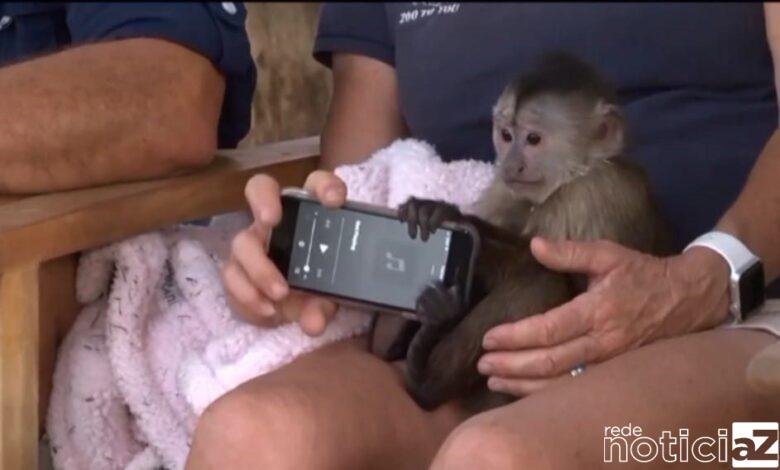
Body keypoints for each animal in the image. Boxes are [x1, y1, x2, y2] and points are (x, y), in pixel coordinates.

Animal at [393, 52, 670, 414]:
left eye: (534, 139)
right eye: (506, 135)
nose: (511, 165)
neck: (574, 175)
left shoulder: (593, 194)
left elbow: (568, 282)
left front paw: (458, 223)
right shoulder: (505, 189)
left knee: (541, 280)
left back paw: (425, 381)